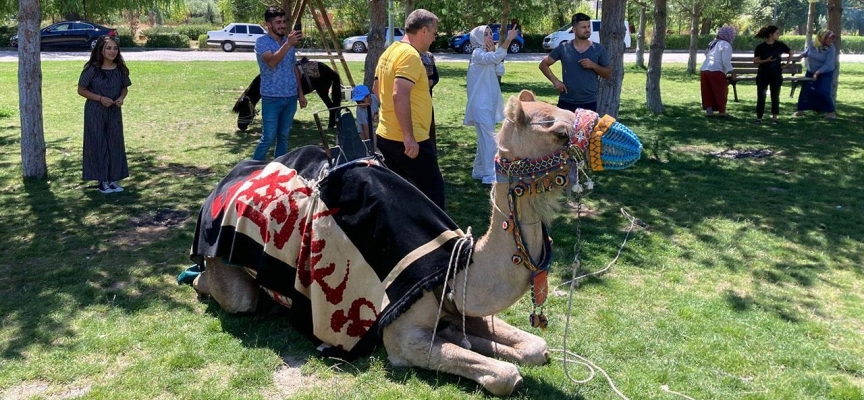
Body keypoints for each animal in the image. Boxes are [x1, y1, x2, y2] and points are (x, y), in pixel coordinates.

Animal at [192, 90, 644, 396]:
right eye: (557, 130)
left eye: (565, 113)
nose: (629, 141)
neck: (457, 263)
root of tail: (224, 182)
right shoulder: (400, 336)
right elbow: (505, 375)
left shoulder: (451, 301)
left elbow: (535, 347)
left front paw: (473, 339)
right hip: (225, 268)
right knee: (230, 294)